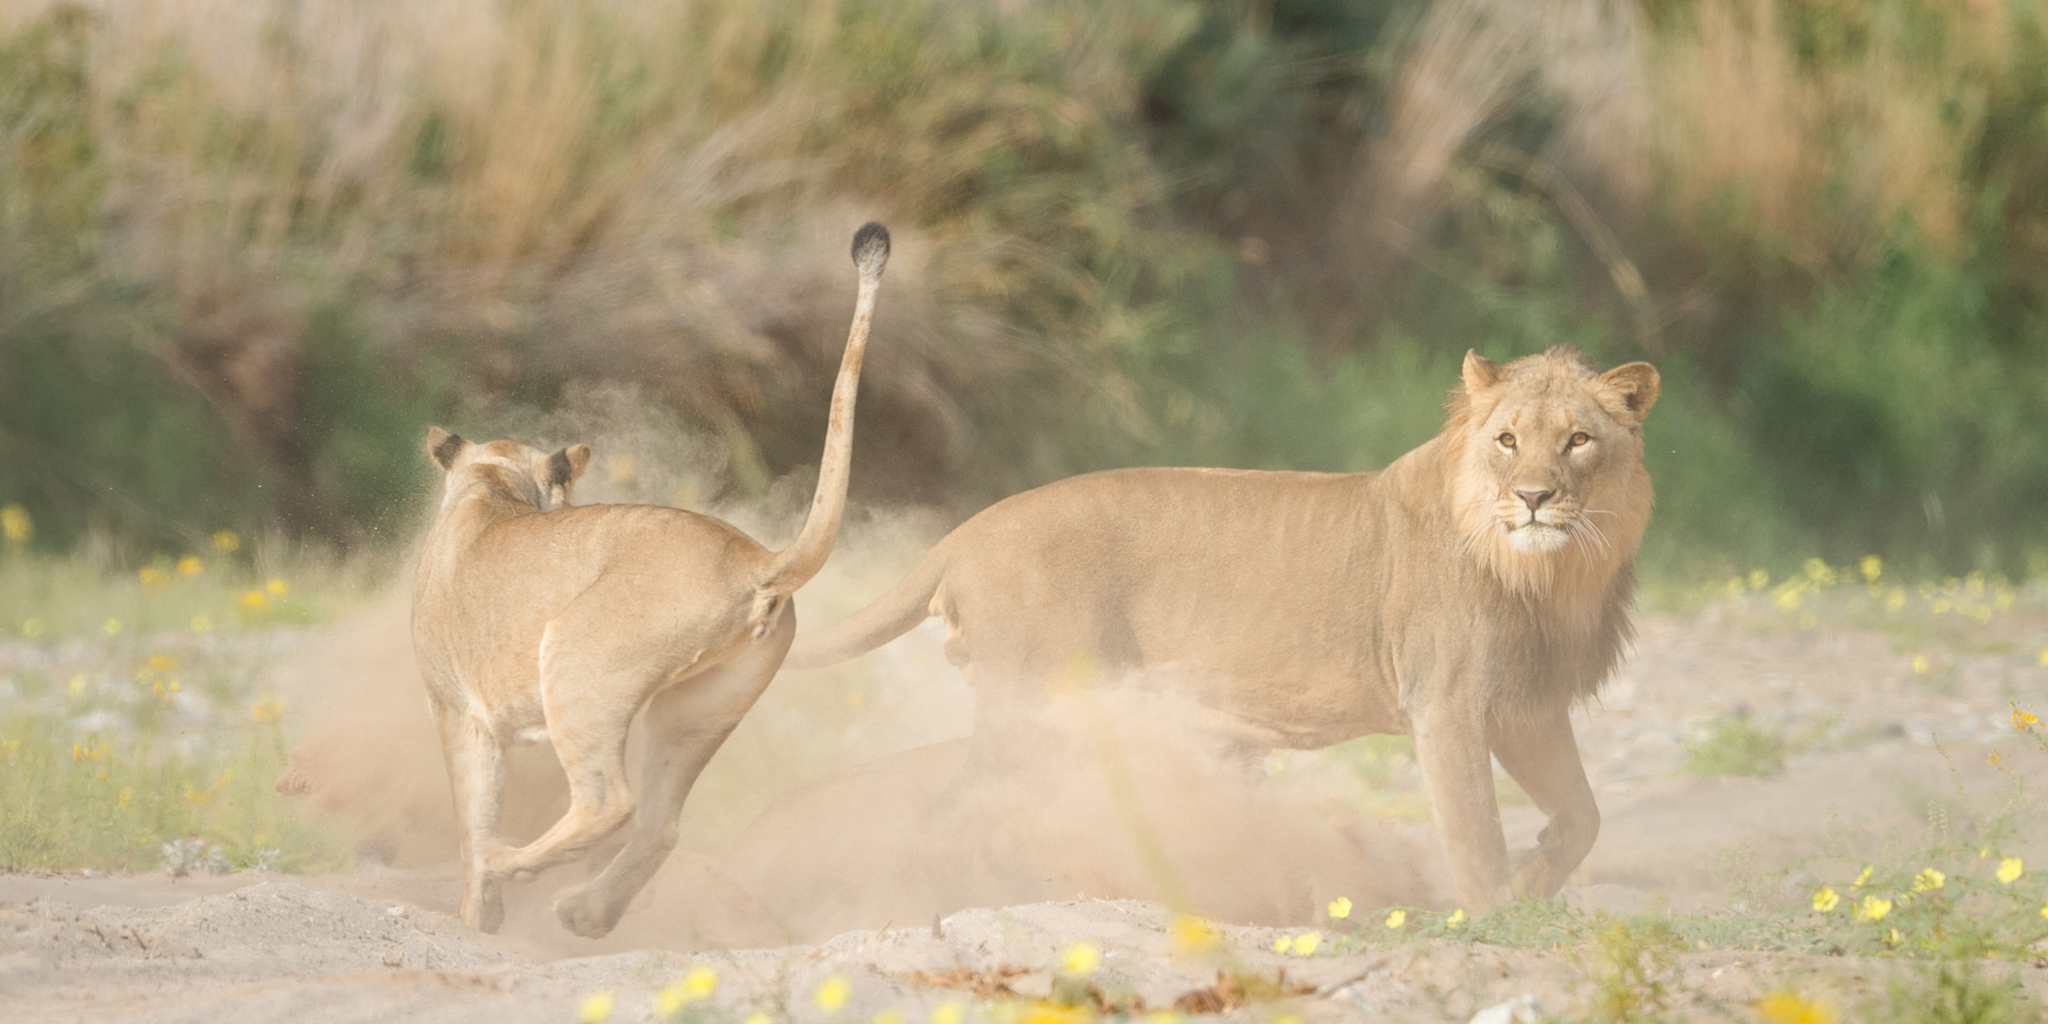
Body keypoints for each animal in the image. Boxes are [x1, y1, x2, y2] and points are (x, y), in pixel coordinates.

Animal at [410, 223, 890, 937]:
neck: (494, 486)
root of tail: (751, 559)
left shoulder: (456, 706)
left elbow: (473, 815)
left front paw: (475, 913)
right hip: (697, 707)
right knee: (661, 824)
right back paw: (585, 913)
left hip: (577, 665)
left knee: (609, 801)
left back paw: (515, 865)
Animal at [783, 345, 1658, 910]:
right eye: (1507, 440)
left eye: (1578, 440)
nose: (1536, 498)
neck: (1551, 575)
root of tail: (962, 535)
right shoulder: (1445, 703)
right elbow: (1474, 833)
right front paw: (1495, 921)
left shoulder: (1525, 707)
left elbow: (1583, 816)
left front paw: (1536, 886)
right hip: (1026, 705)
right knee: (957, 809)